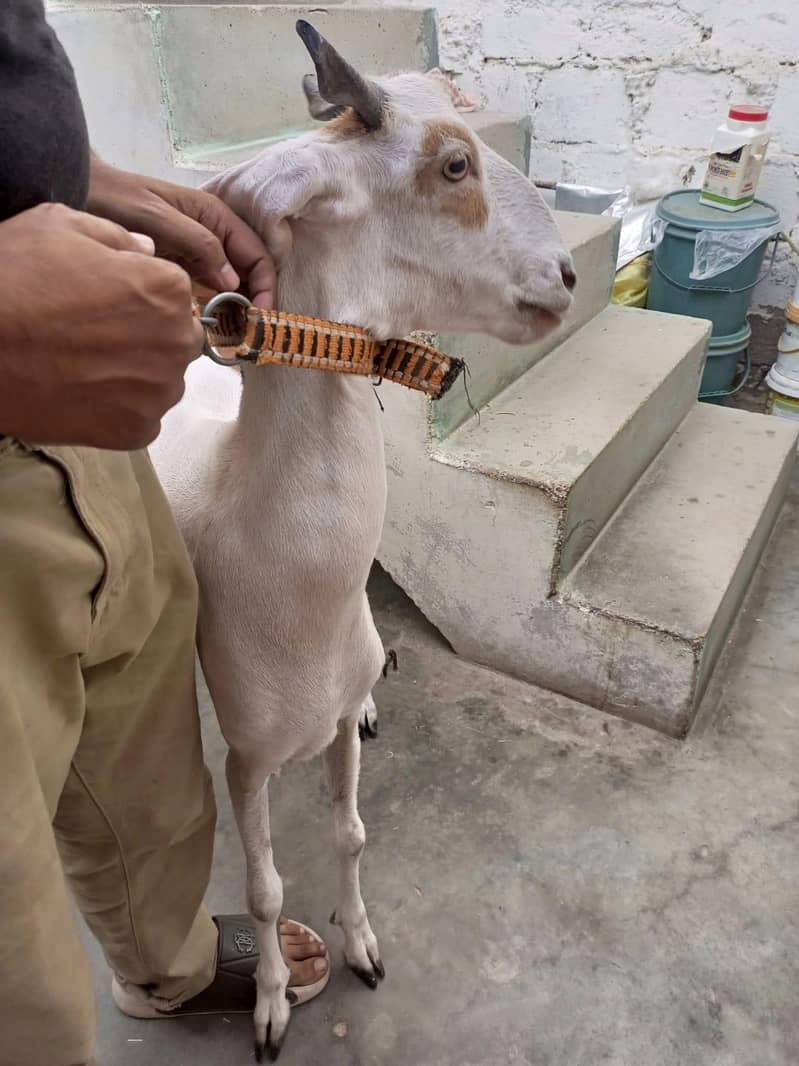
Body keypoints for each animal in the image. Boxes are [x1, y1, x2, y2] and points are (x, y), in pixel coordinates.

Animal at [150, 20, 574, 1061]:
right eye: (453, 163)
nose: (568, 278)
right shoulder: (249, 760)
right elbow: (264, 889)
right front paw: (268, 1002)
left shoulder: (334, 723)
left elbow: (350, 835)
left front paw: (365, 947)